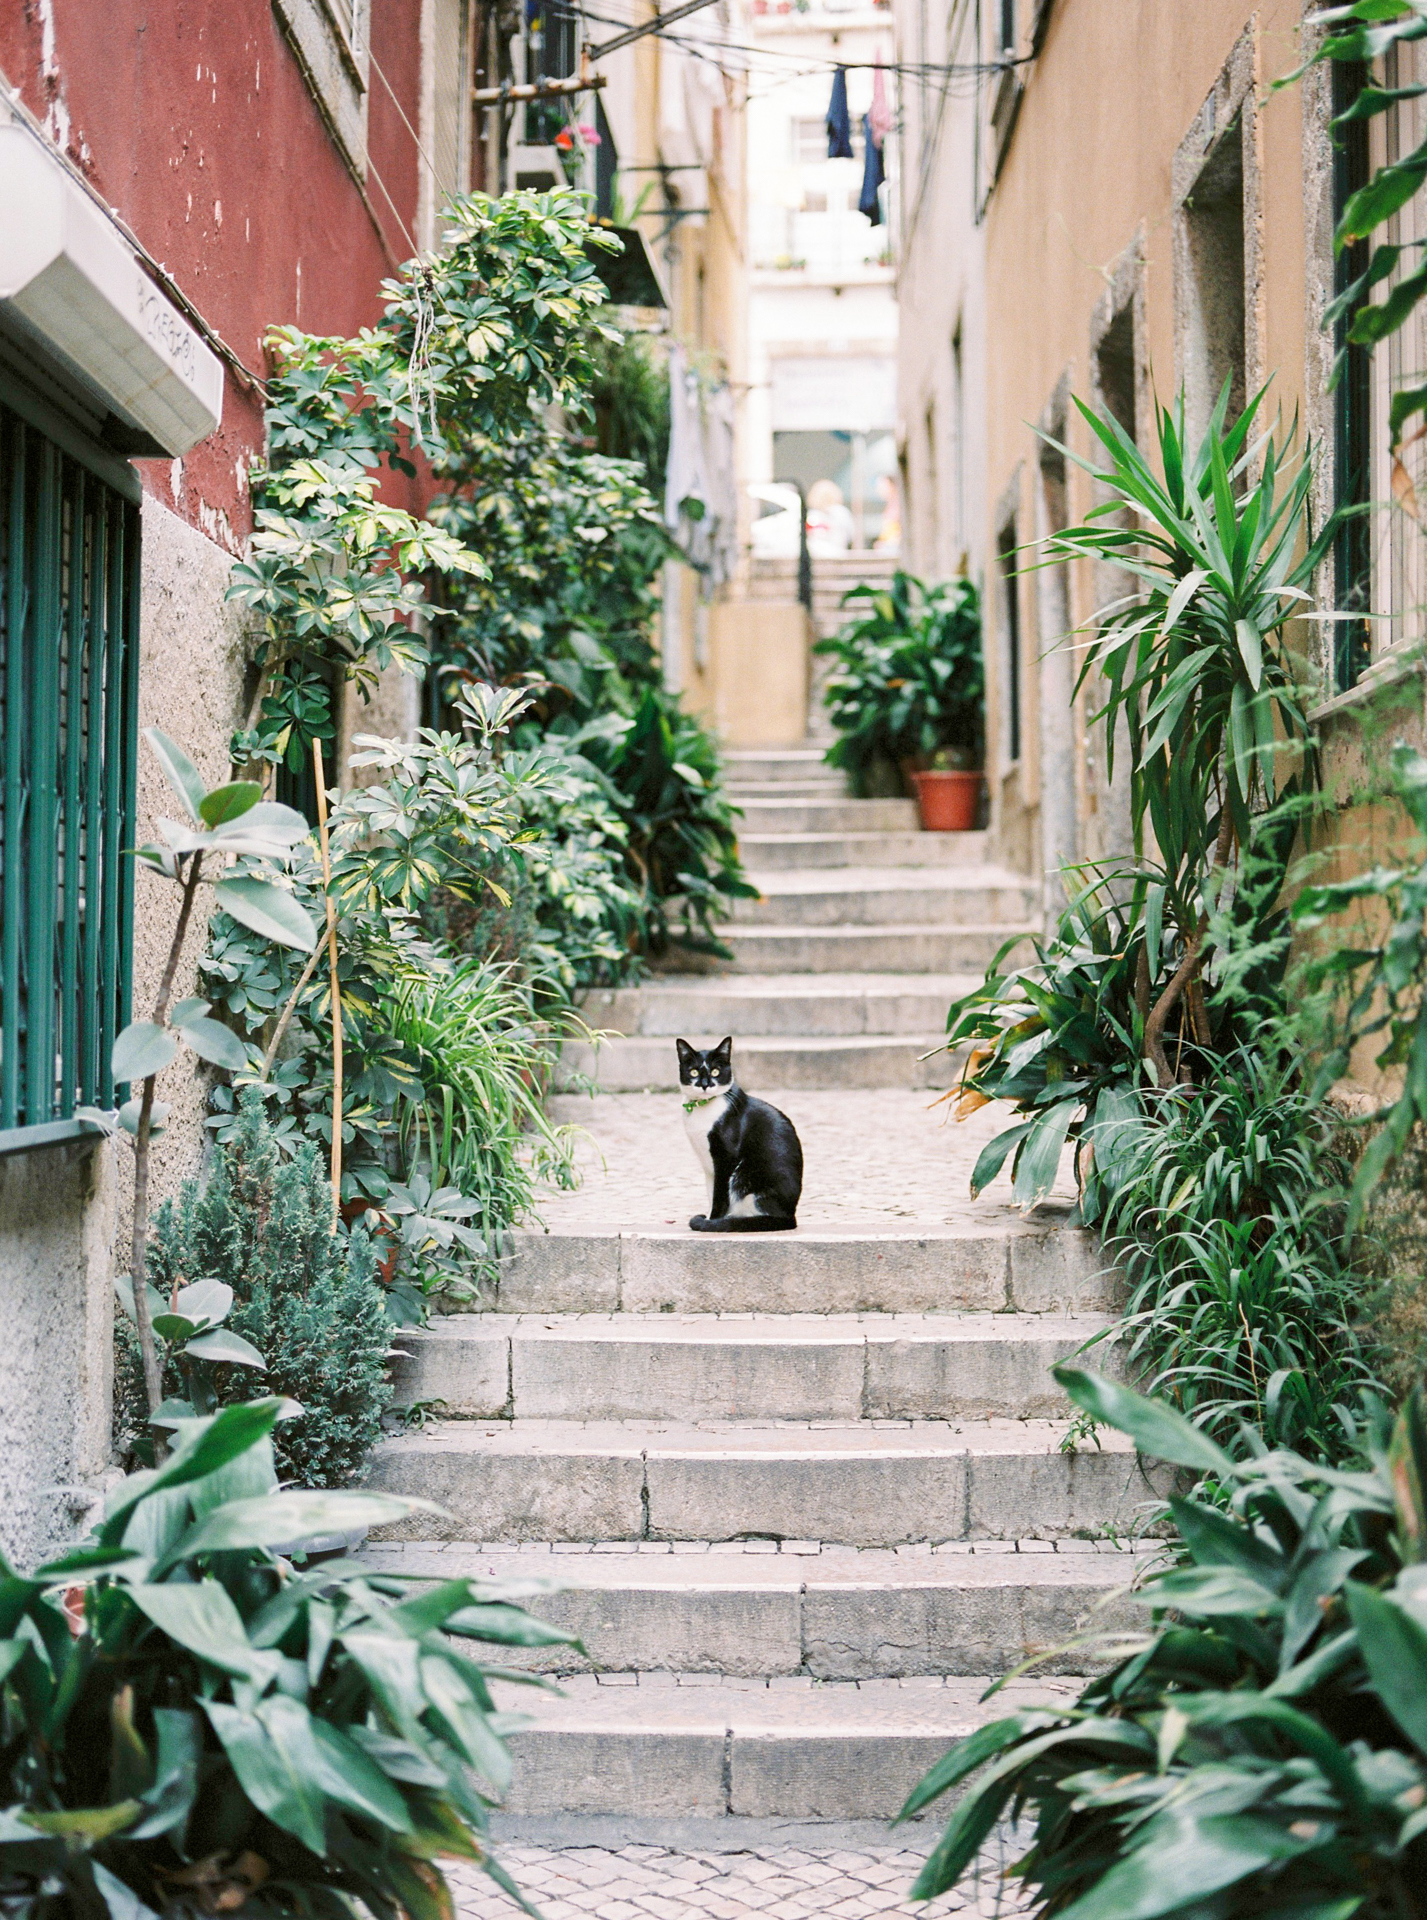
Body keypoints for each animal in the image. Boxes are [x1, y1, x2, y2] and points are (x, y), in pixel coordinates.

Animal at [672, 1036, 798, 1228]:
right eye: (693, 1072)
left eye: (715, 1071)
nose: (705, 1085)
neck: (701, 1108)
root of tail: (789, 1217)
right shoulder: (709, 1167)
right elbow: (711, 1193)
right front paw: (710, 1218)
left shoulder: (725, 1158)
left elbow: (719, 1196)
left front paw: (712, 1221)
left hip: (745, 1176)